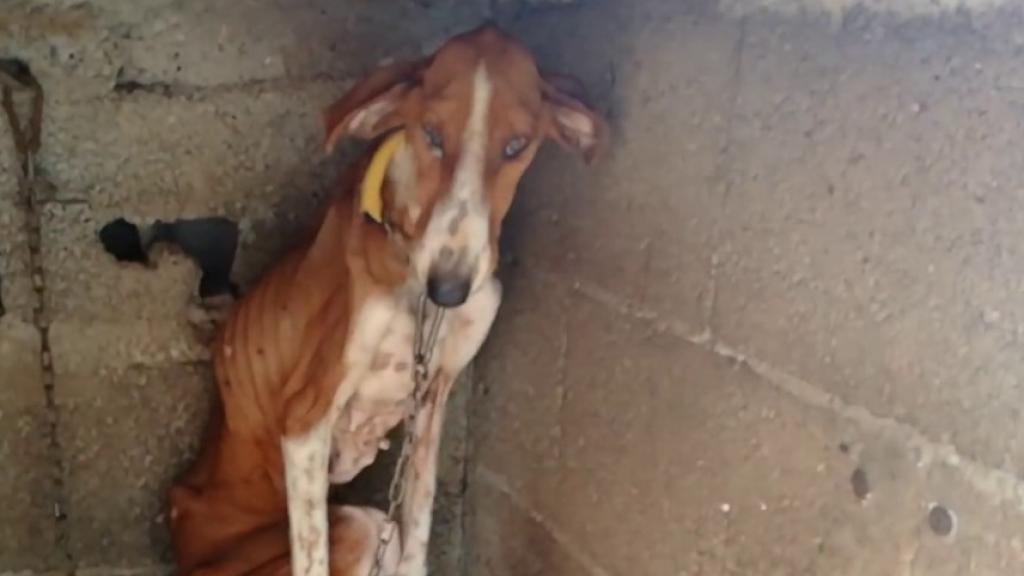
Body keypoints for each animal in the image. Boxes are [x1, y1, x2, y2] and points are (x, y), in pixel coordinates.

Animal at [167, 24, 606, 573]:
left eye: (516, 146)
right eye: (431, 135)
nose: (449, 289)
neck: (418, 293)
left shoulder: (431, 403)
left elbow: (418, 524)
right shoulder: (305, 420)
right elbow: (312, 555)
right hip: (352, 528)